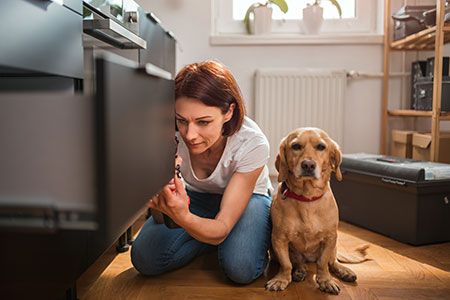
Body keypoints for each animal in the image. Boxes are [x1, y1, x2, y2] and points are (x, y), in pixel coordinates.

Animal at [266, 127, 364, 294]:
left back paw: (344, 271)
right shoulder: (279, 239)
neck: (307, 199)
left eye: (321, 147)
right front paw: (281, 279)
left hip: (334, 247)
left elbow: (323, 263)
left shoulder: (330, 238)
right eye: (296, 146)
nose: (308, 165)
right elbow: (286, 264)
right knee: (298, 262)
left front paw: (325, 280)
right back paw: (299, 271)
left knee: (333, 261)